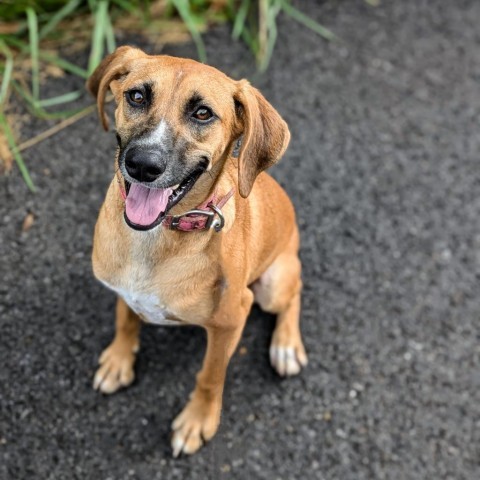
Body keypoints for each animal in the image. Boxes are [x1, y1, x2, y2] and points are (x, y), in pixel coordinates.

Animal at [87, 47, 308, 456]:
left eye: (203, 113)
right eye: (136, 96)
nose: (142, 164)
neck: (156, 237)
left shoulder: (229, 321)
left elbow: (210, 375)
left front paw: (197, 422)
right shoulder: (123, 289)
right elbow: (125, 318)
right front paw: (119, 359)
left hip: (271, 285)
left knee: (294, 293)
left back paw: (286, 345)